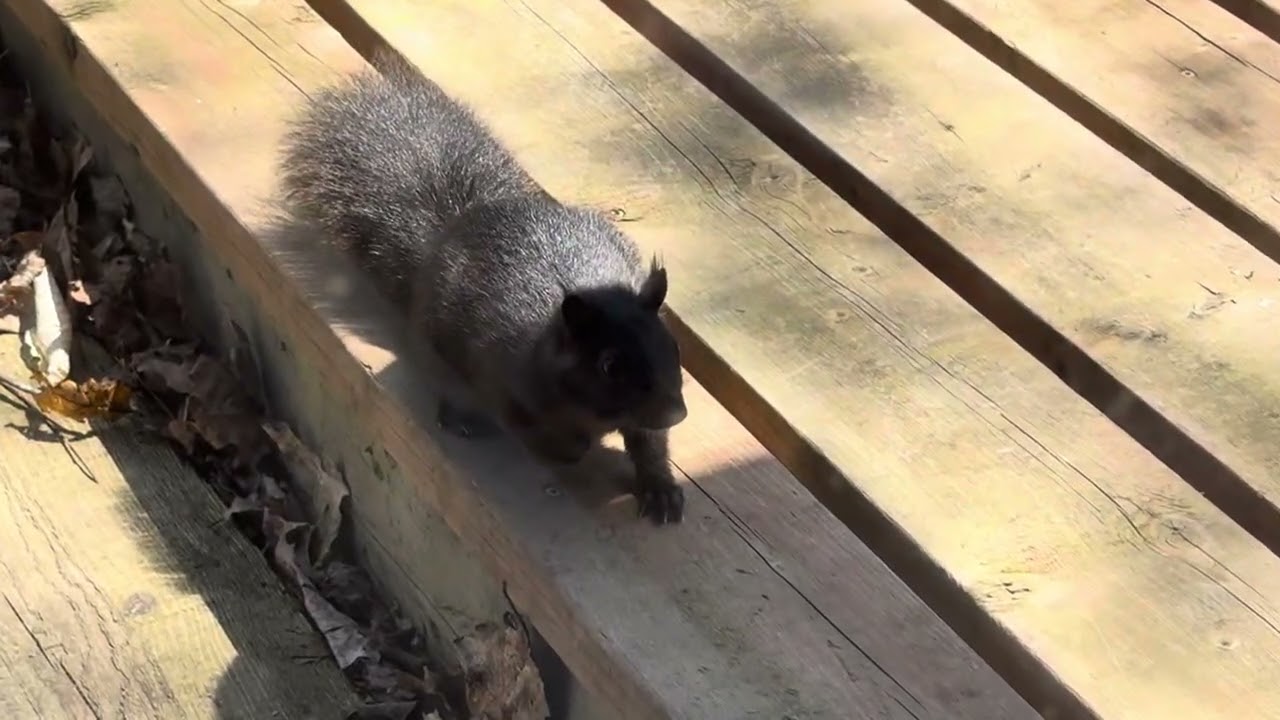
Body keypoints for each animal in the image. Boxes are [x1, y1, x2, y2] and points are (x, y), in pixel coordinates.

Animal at [277, 51, 689, 524]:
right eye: (610, 366)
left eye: (673, 346)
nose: (677, 412)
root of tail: (451, 230)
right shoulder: (503, 378)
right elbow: (535, 430)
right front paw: (573, 447)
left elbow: (649, 443)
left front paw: (660, 488)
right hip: (438, 353)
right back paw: (462, 417)